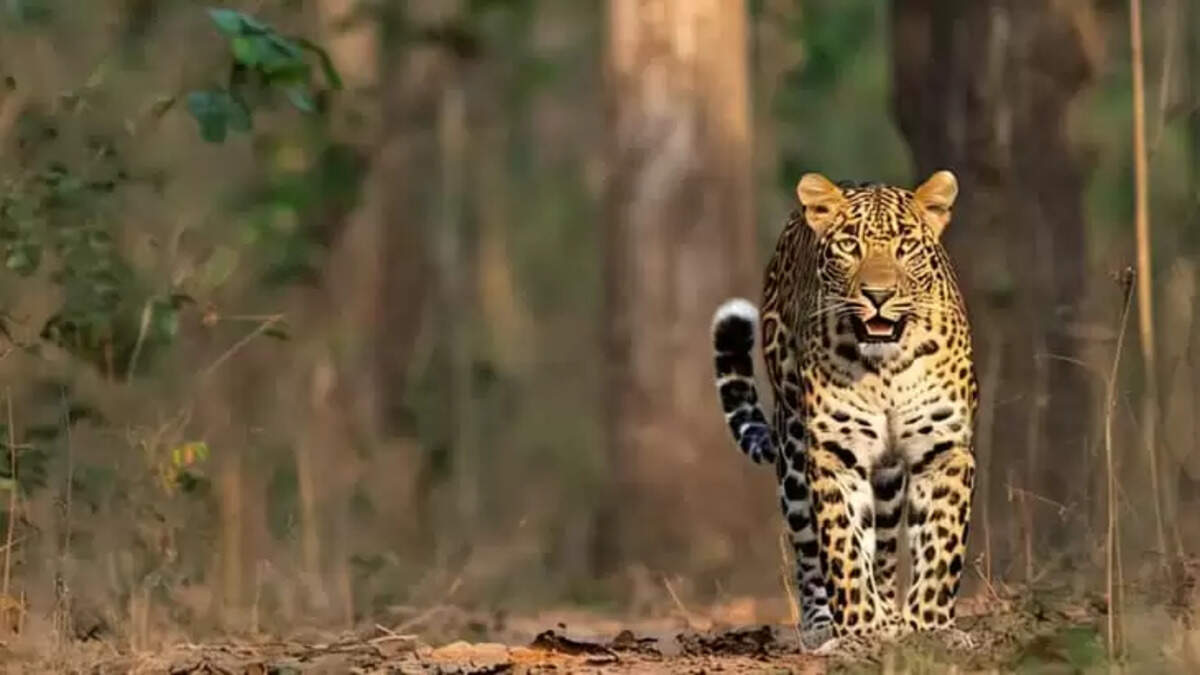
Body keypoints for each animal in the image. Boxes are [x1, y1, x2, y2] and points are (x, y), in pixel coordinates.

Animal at [711, 171, 978, 649]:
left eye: (905, 246)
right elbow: (843, 548)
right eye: (849, 245)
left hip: (888, 481)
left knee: (886, 546)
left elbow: (940, 545)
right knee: (809, 549)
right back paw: (825, 626)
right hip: (794, 453)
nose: (878, 294)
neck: (887, 364)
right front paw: (860, 631)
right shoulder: (835, 452)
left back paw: (891, 614)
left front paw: (930, 628)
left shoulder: (943, 449)